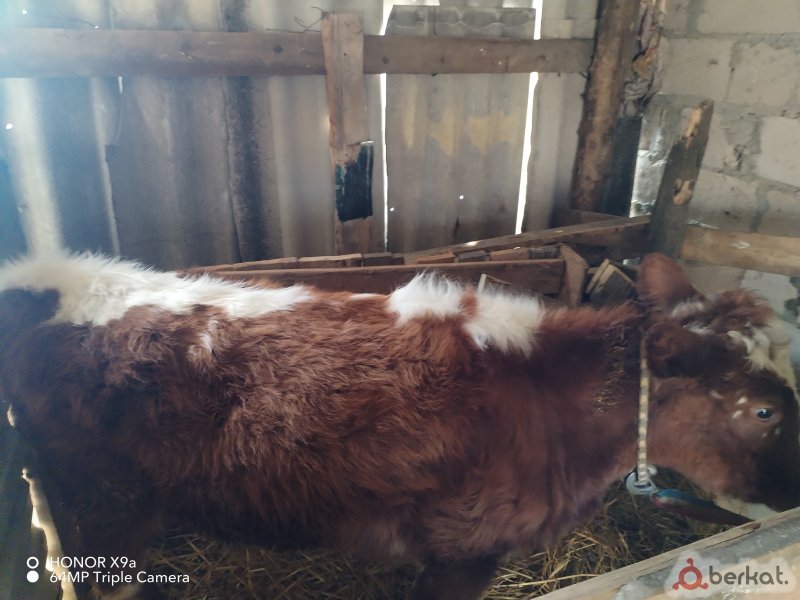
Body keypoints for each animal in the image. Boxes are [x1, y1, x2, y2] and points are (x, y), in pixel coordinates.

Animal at [0, 251, 798, 600]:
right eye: (765, 410)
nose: (792, 495)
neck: (547, 398)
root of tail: (49, 275)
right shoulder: (463, 550)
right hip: (104, 507)